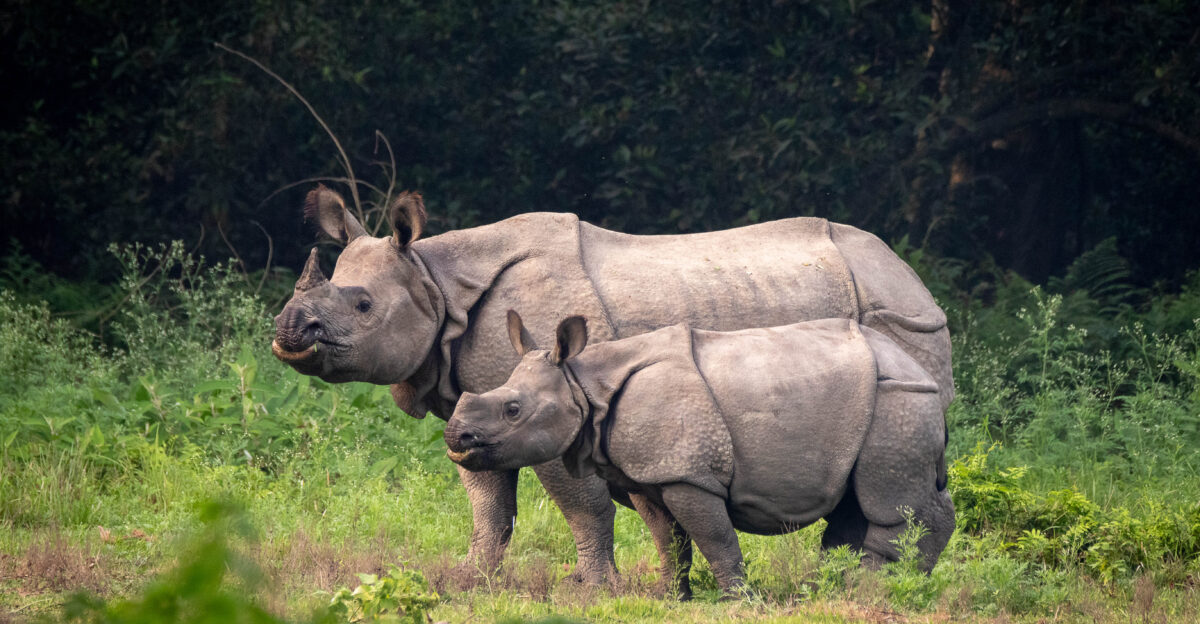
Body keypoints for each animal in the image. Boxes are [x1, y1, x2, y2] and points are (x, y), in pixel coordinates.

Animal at [444, 312, 955, 597]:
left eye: (513, 410)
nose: (455, 437)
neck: (585, 384)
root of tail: (918, 368)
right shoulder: (651, 473)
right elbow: (668, 538)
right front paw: (668, 596)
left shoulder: (688, 473)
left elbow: (714, 536)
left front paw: (738, 600)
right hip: (879, 402)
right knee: (855, 501)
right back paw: (836, 588)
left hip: (897, 400)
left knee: (892, 503)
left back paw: (877, 589)